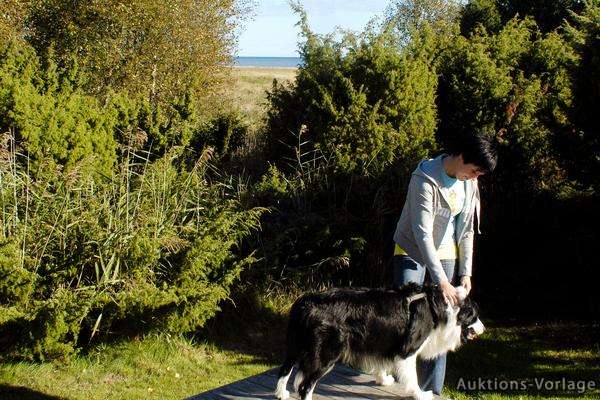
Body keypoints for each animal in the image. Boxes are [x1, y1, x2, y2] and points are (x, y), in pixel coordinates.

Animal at [274, 282, 486, 400]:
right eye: (475, 316)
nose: (484, 329)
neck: (440, 306)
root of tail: (305, 303)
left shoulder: (384, 341)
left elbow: (382, 363)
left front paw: (383, 379)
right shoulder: (408, 349)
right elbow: (413, 378)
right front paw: (420, 394)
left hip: (295, 345)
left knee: (285, 369)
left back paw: (281, 393)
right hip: (327, 354)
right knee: (305, 386)